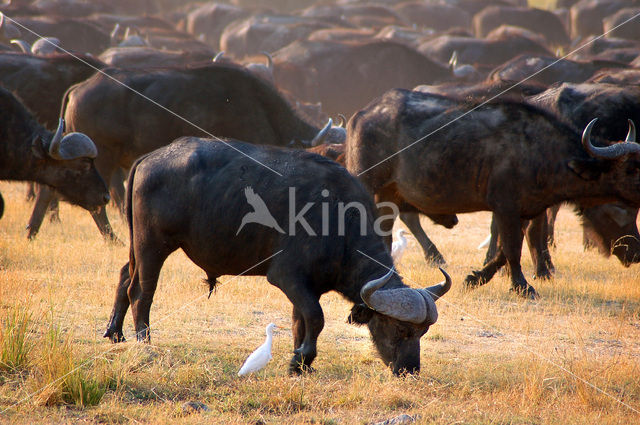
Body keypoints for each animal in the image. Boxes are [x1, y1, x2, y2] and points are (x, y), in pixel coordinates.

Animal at [105, 137, 452, 374]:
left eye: (423, 332)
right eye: (400, 329)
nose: (410, 369)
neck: (338, 221)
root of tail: (150, 157)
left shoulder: (307, 287)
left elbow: (301, 320)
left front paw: (300, 364)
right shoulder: (287, 277)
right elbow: (316, 317)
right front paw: (302, 358)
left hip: (138, 245)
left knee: (123, 276)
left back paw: (114, 332)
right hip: (153, 244)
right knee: (142, 291)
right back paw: (144, 341)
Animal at [348, 88, 640, 294]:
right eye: (630, 169)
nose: (635, 252)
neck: (542, 153)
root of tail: (361, 115)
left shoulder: (523, 211)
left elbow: (504, 249)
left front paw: (476, 278)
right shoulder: (505, 207)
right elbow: (511, 248)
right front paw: (523, 286)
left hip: (389, 194)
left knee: (386, 231)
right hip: (367, 182)